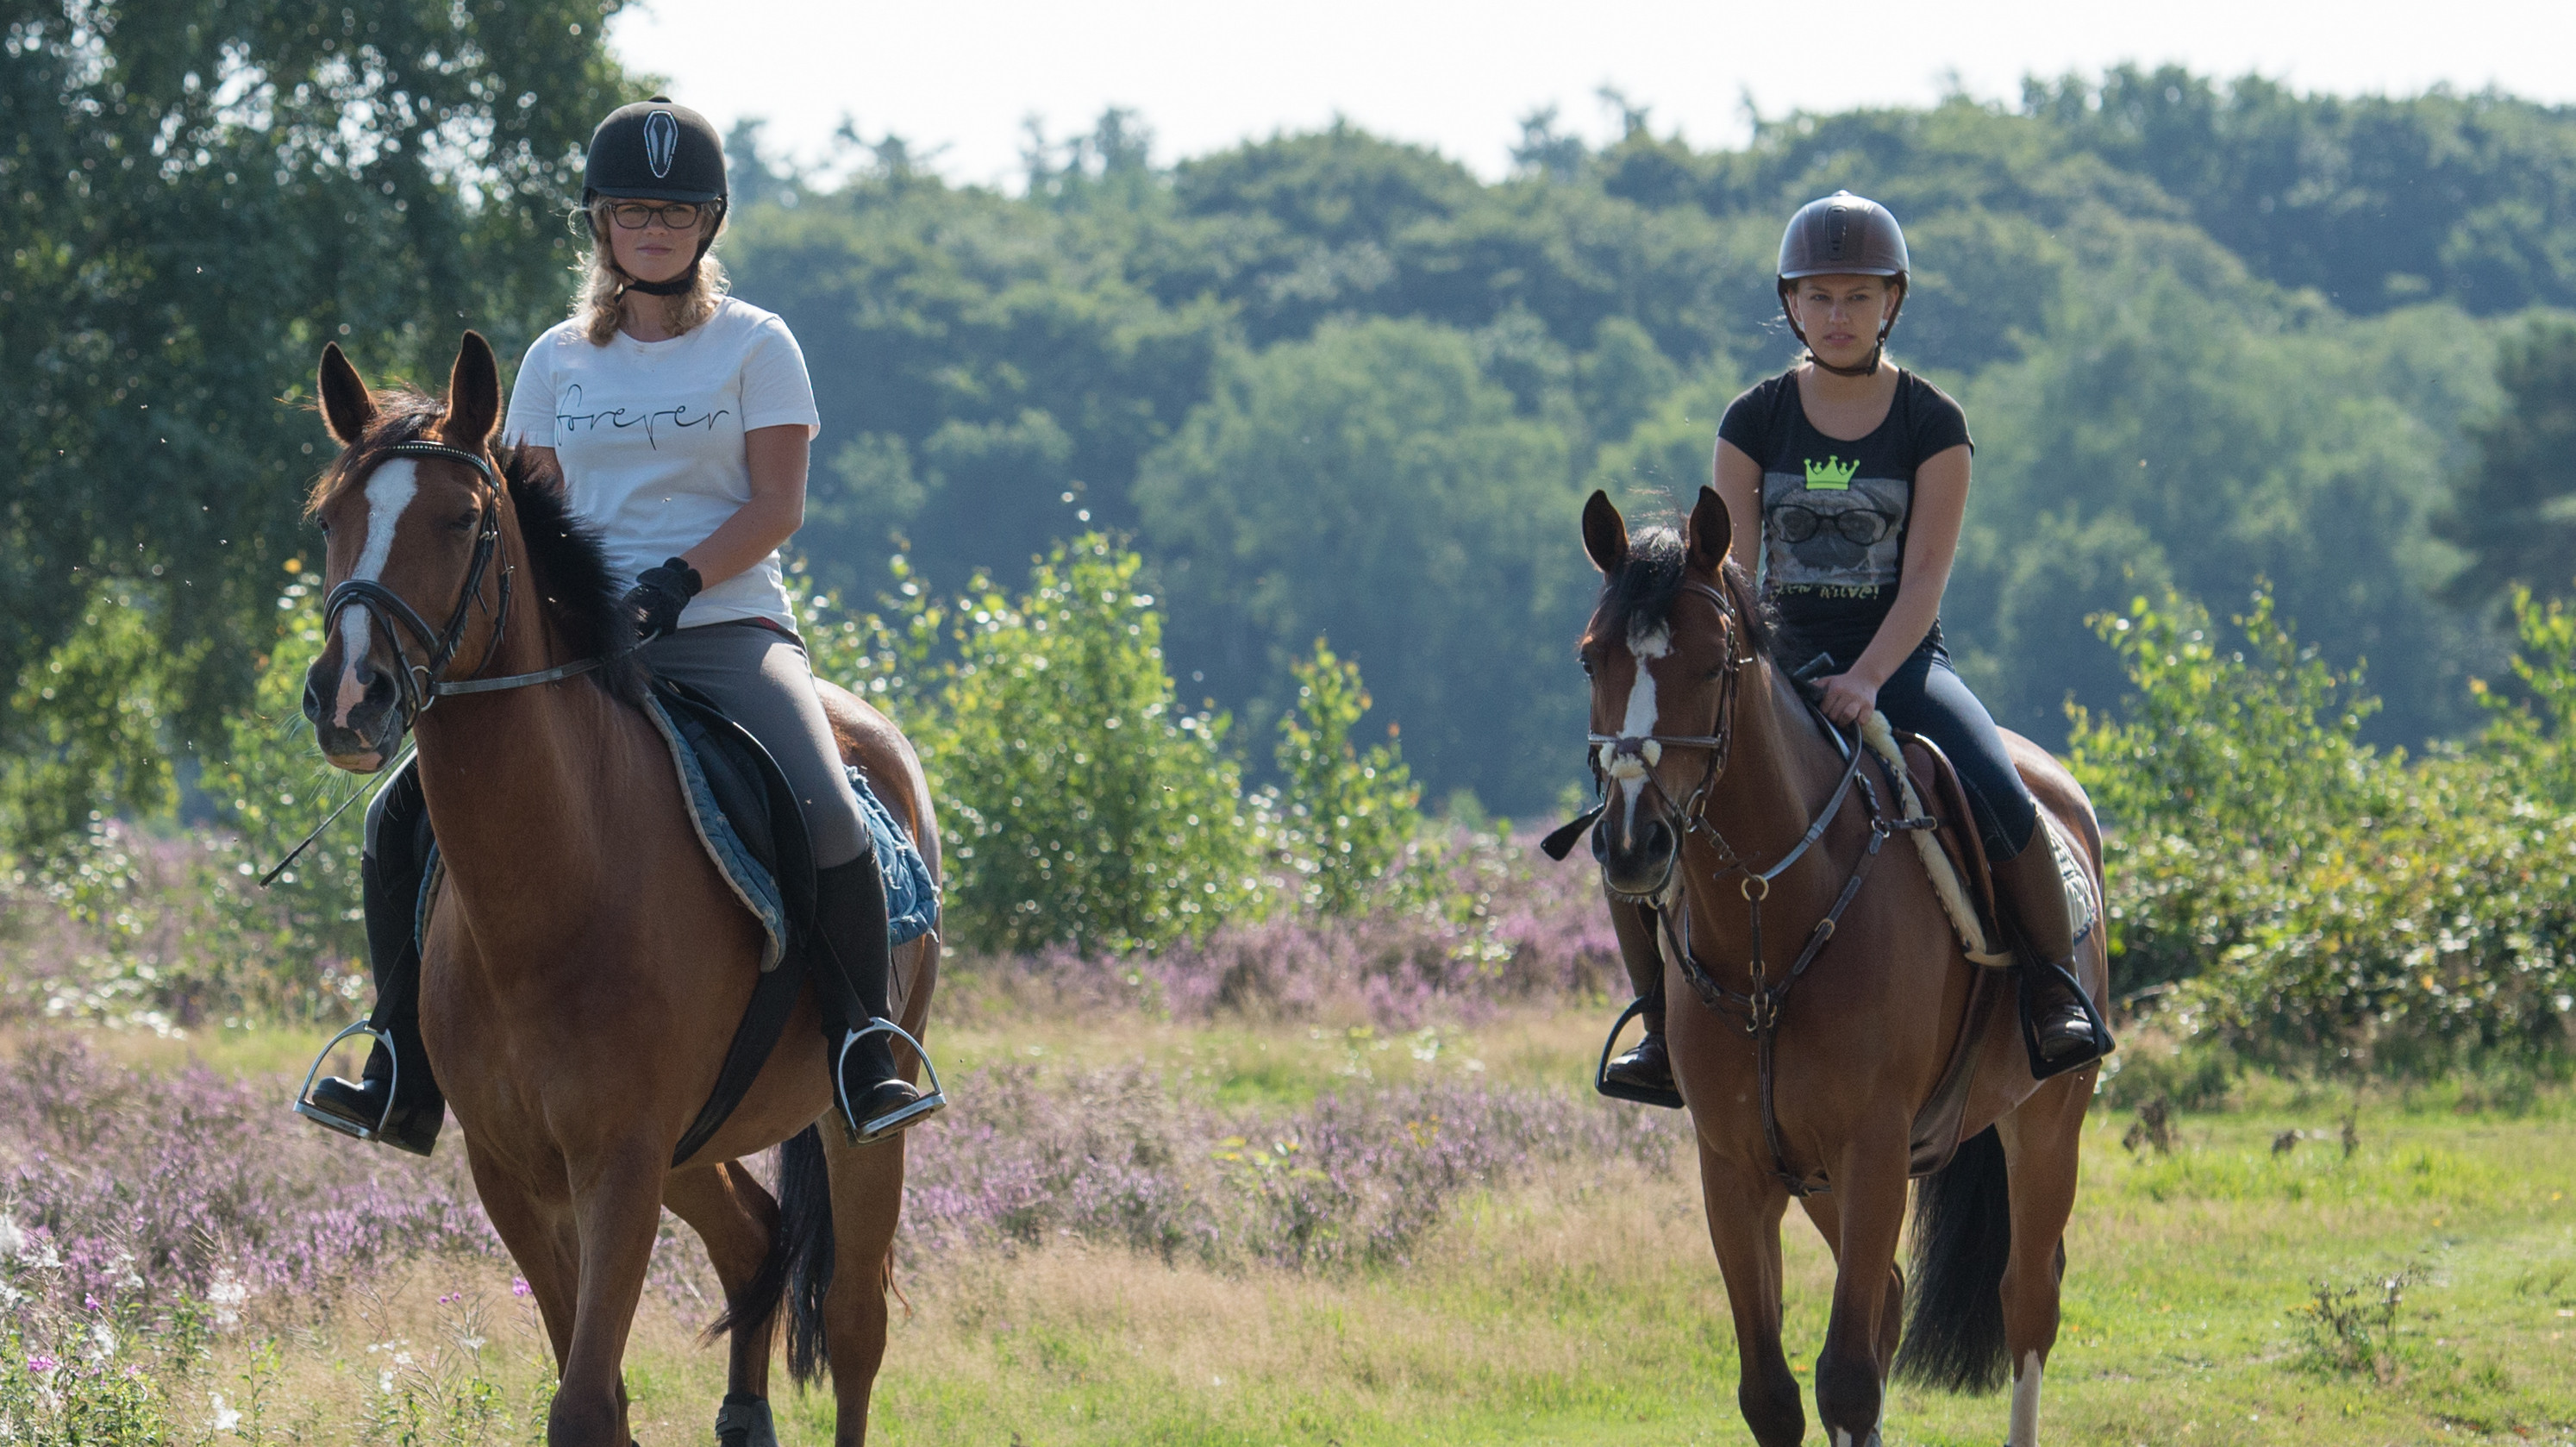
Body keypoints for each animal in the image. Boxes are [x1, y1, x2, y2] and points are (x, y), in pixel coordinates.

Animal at [300, 327, 932, 1442]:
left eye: (459, 520)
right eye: (331, 518)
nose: (348, 697)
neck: (552, 892)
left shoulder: (621, 1163)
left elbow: (587, 1401)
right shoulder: (513, 1172)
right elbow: (585, 1383)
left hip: (855, 1121)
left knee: (857, 1322)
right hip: (695, 1145)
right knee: (754, 1239)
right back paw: (744, 1413)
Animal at [1576, 486, 2102, 1442]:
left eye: (1711, 666)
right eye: (1591, 657)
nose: (1632, 844)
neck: (1766, 918)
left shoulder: (1874, 1151)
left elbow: (1848, 1378)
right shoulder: (1735, 1167)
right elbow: (1773, 1392)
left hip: (2046, 1124)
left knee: (2027, 1300)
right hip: (1815, 1172)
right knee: (1892, 1296)